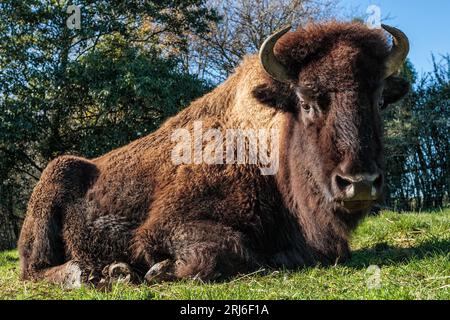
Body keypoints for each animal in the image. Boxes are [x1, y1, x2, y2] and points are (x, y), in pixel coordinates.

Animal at [18, 21, 412, 288]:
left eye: (380, 100)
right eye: (305, 102)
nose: (360, 183)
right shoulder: (164, 227)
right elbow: (232, 249)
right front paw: (159, 270)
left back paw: (116, 271)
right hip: (49, 196)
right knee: (33, 270)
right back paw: (93, 274)